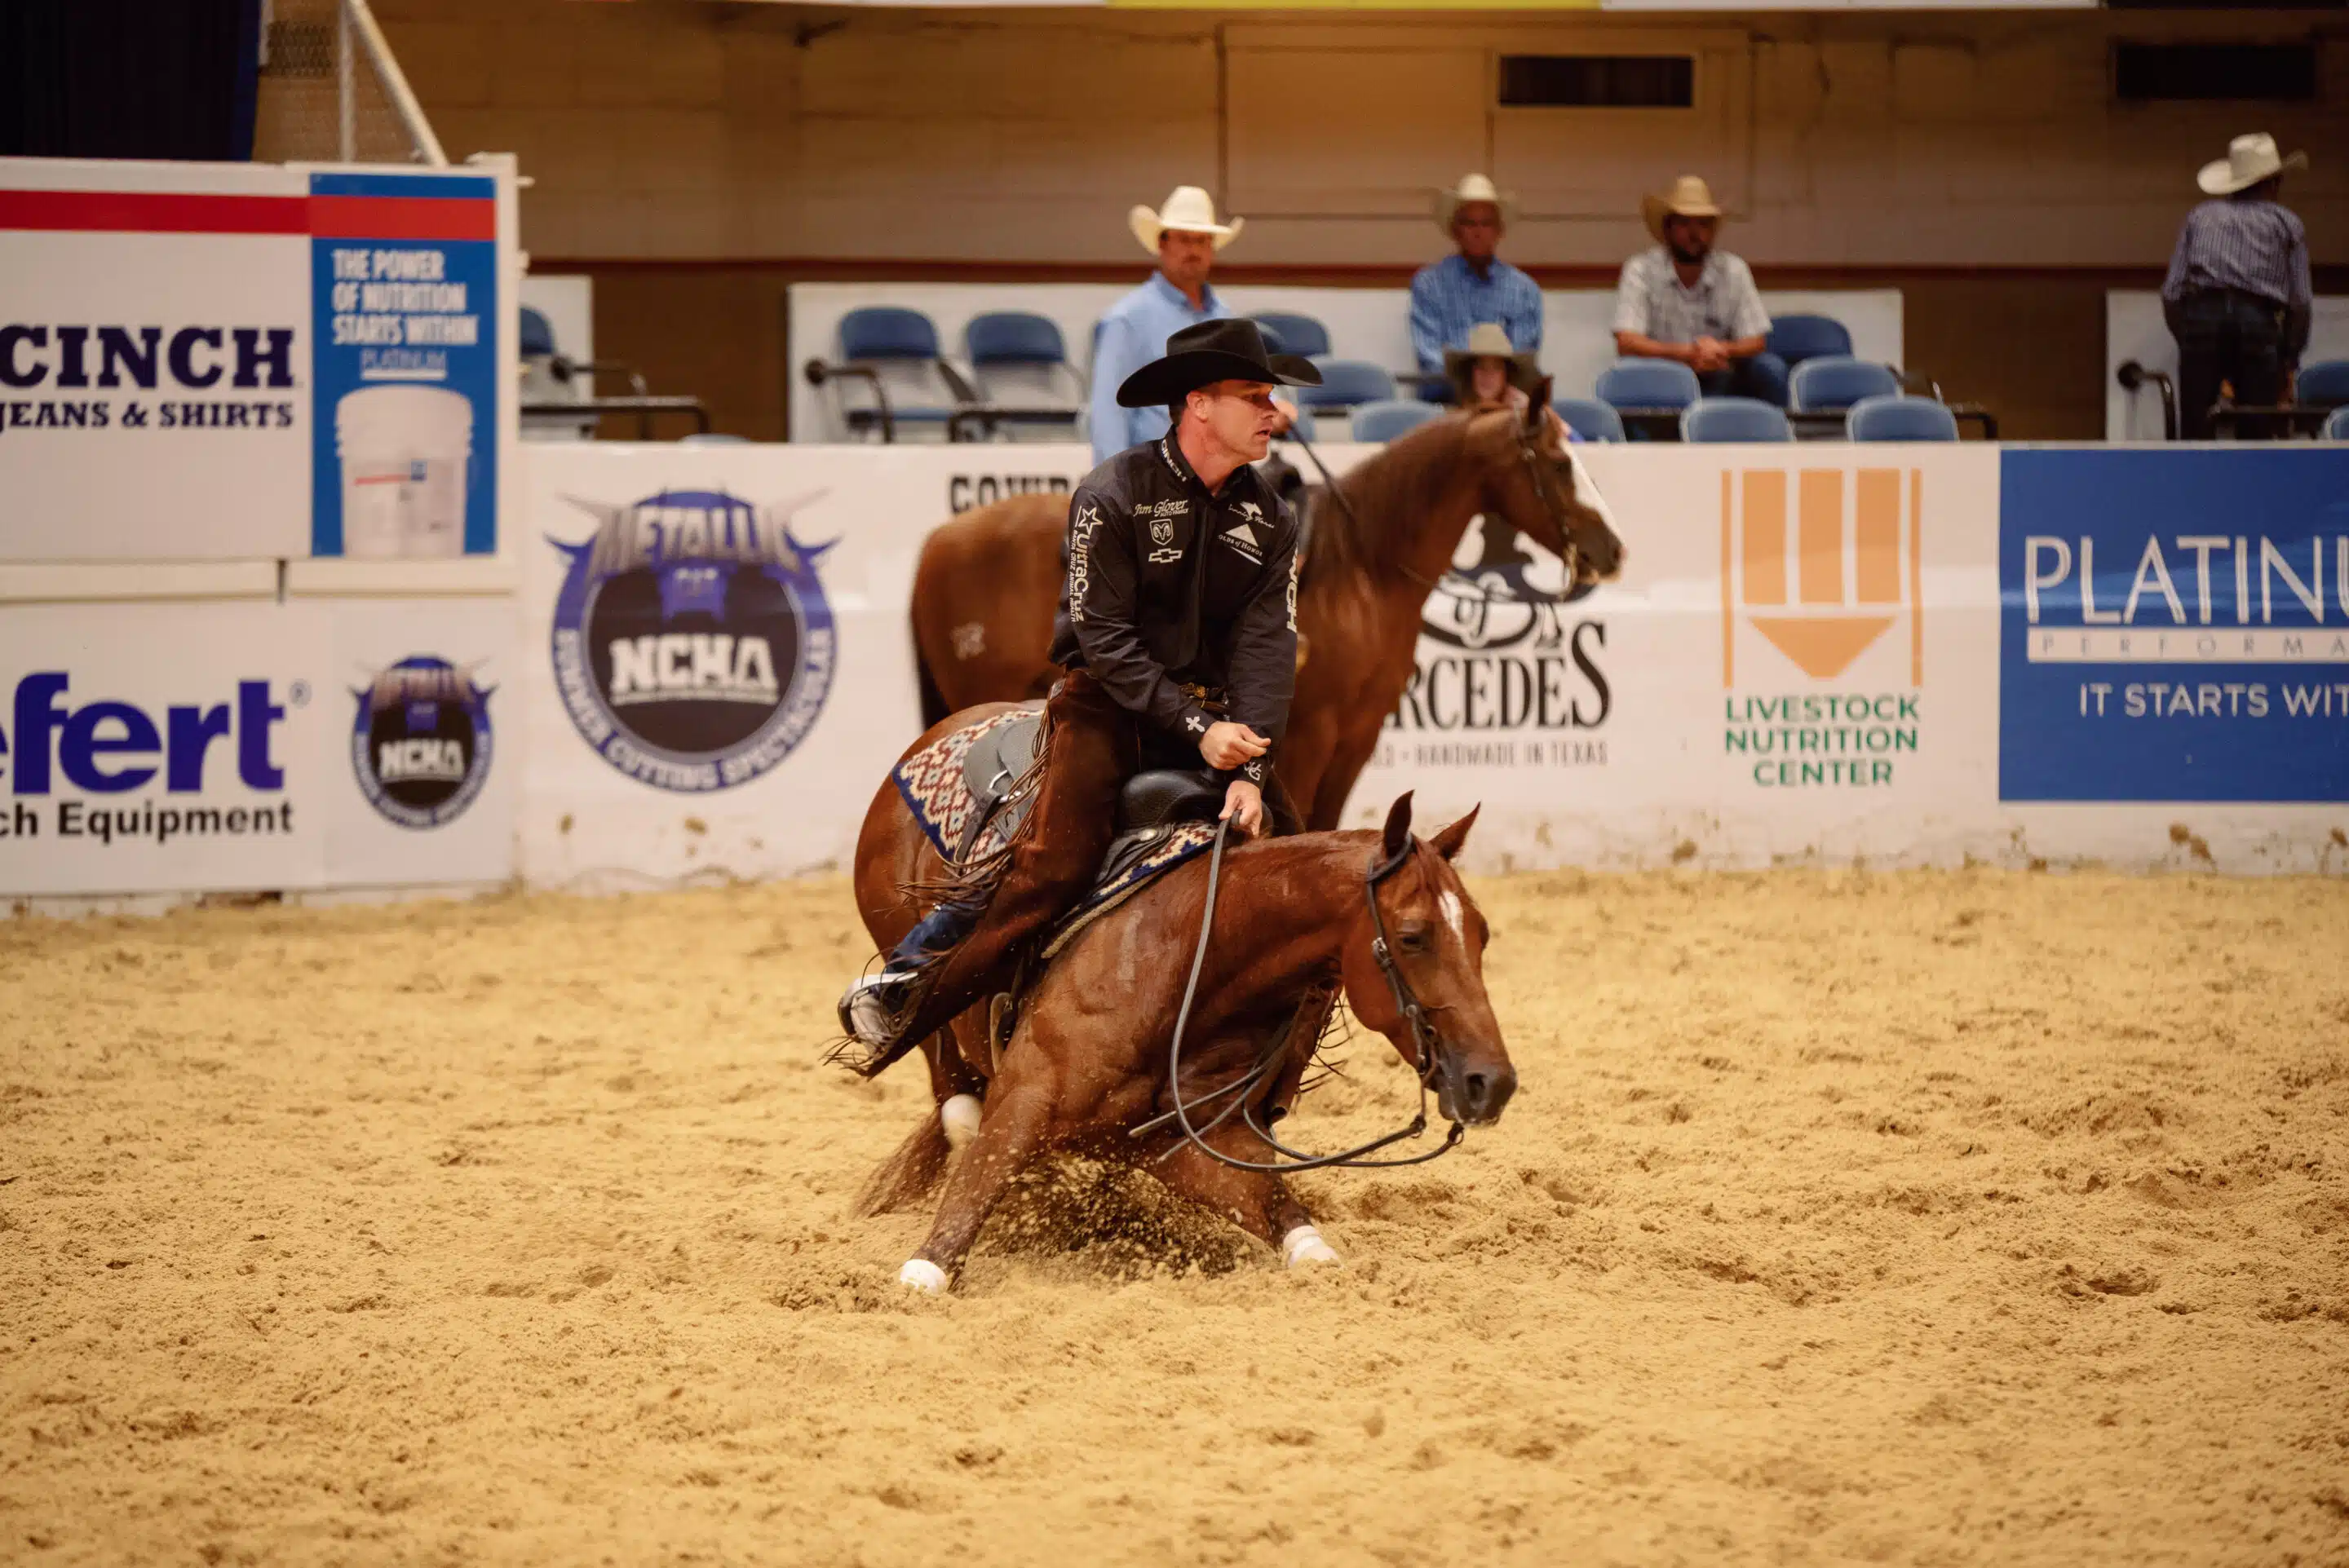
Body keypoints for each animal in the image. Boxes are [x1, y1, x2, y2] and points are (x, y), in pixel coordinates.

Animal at [860, 765, 1503, 1296]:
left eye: (1483, 932)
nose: (1491, 1080)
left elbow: (1292, 1224)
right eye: (1413, 936)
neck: (1188, 952)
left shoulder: (1169, 1141)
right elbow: (944, 1242)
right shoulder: (1022, 1105)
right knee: (942, 1065)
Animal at [906, 399, 1625, 826]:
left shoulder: (1358, 738)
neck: (1363, 569)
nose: (1611, 549)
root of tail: (937, 542)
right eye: (1558, 463)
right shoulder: (1307, 736)